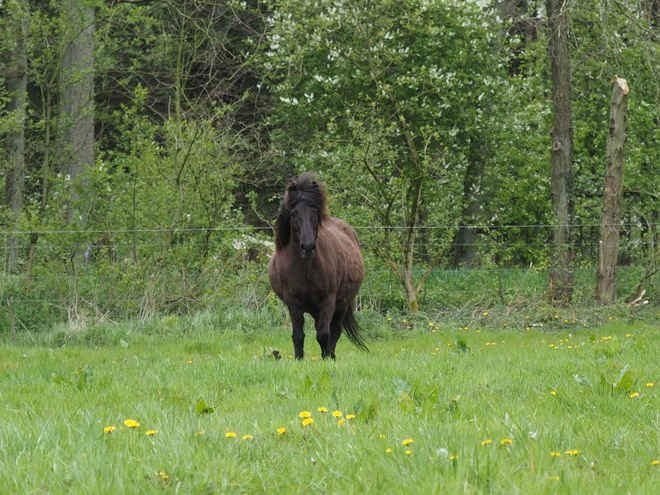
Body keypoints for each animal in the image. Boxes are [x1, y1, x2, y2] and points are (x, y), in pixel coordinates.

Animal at [270, 174, 372, 360]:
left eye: (315, 211)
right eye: (294, 213)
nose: (308, 247)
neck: (307, 267)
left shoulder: (328, 299)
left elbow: (324, 334)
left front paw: (327, 358)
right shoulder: (292, 302)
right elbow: (298, 335)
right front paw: (299, 359)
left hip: (341, 305)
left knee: (335, 330)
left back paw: (331, 354)